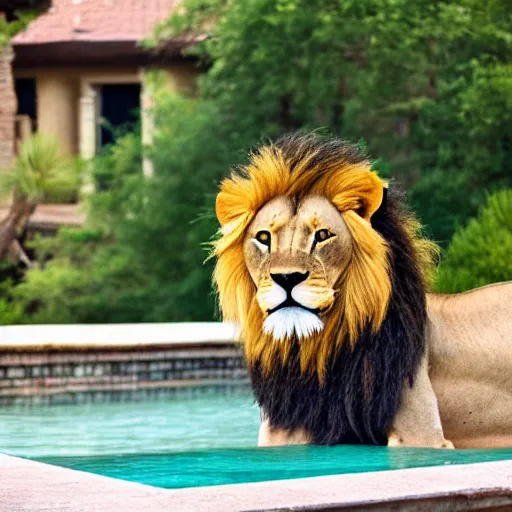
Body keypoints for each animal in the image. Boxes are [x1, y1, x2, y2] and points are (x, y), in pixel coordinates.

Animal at [212, 132, 512, 448]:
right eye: (263, 237)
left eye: (322, 235)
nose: (287, 277)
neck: (317, 352)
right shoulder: (282, 431)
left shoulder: (422, 433)